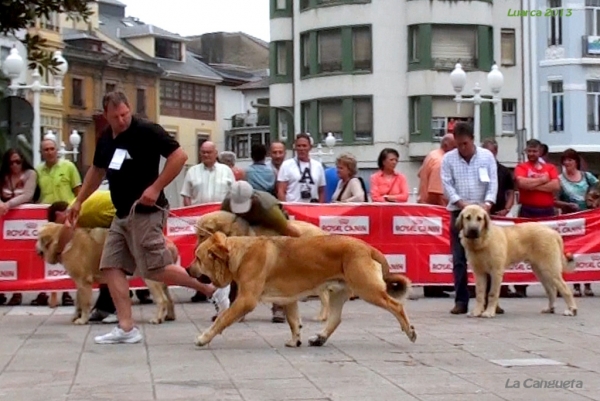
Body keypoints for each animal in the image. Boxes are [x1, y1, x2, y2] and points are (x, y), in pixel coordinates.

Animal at [36, 222, 176, 324]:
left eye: (37, 238)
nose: (35, 248)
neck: (64, 241)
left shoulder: (84, 282)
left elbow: (84, 303)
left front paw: (82, 320)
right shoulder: (79, 283)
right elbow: (78, 302)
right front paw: (76, 316)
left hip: (151, 279)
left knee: (162, 300)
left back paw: (157, 319)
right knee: (169, 299)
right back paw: (169, 316)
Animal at [190, 231, 414, 346]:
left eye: (198, 258)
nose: (188, 269)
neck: (238, 253)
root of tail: (368, 248)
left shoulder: (246, 300)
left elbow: (223, 319)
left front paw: (204, 337)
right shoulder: (288, 299)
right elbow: (293, 321)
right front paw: (295, 340)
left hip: (368, 289)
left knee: (396, 306)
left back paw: (409, 330)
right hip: (338, 293)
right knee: (335, 319)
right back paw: (320, 338)